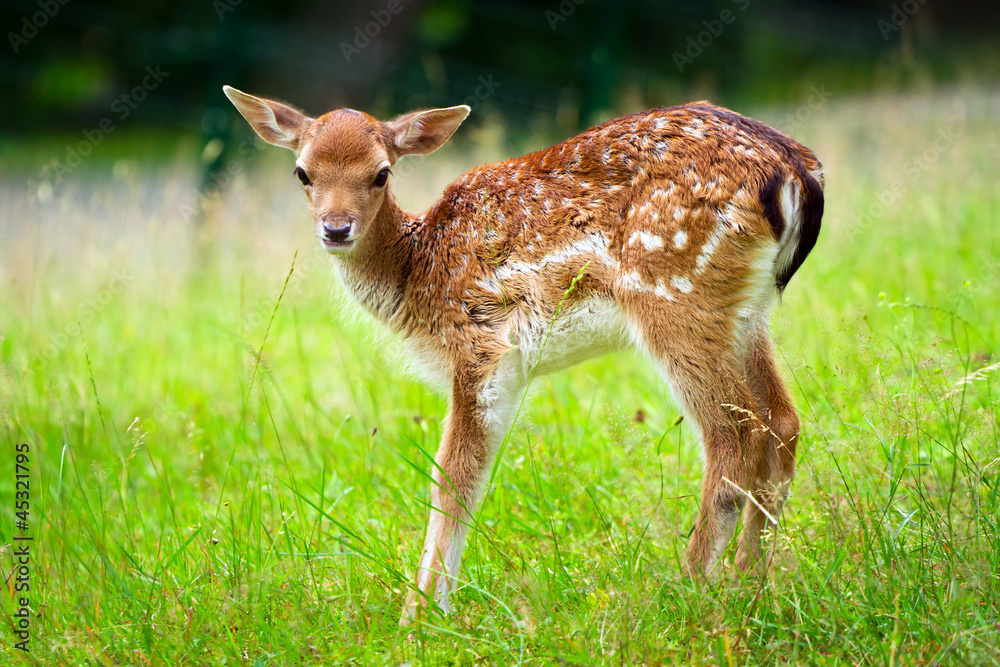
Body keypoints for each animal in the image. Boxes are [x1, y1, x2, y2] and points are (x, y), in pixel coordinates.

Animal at [223, 86, 824, 624]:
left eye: (381, 172)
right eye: (303, 173)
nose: (336, 229)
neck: (420, 273)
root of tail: (796, 173)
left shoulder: (483, 345)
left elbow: (454, 477)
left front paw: (421, 617)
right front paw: (429, 608)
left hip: (673, 294)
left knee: (733, 435)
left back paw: (688, 590)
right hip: (745, 311)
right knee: (781, 421)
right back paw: (750, 585)